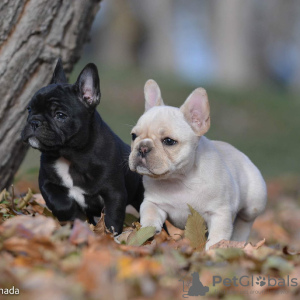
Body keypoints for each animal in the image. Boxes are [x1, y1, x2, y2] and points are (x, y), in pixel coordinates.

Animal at [21, 58, 144, 232]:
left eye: (60, 115)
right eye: (29, 109)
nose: (34, 122)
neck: (71, 156)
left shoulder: (114, 193)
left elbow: (112, 219)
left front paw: (109, 235)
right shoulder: (47, 184)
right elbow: (60, 203)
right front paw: (75, 219)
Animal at [129, 80, 268, 251]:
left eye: (169, 141)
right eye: (134, 136)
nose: (142, 147)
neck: (179, 180)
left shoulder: (220, 214)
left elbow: (217, 239)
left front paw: (211, 252)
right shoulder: (153, 202)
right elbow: (149, 212)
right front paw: (148, 230)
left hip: (253, 203)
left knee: (245, 221)